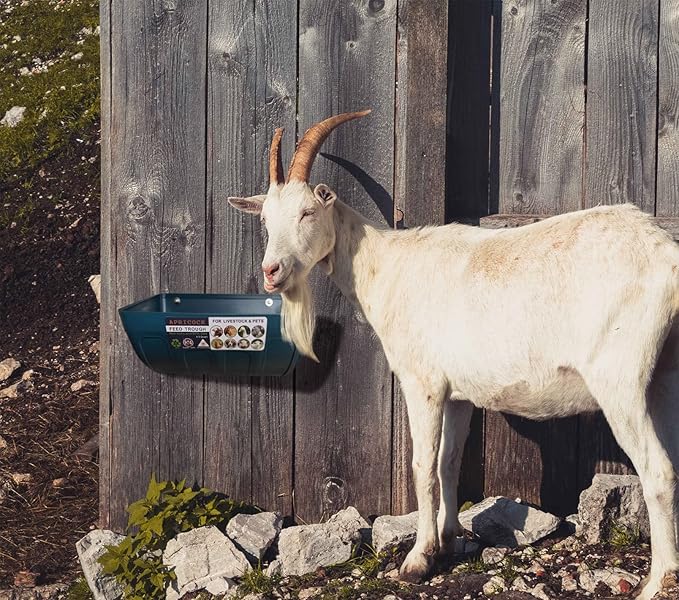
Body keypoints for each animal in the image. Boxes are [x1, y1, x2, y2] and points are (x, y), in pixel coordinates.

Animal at [228, 111, 679, 600]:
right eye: (266, 219)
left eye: (307, 212)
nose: (271, 271)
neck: (386, 266)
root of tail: (667, 256)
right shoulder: (460, 394)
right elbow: (449, 462)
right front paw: (447, 539)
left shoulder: (422, 382)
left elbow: (423, 465)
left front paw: (416, 561)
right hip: (665, 377)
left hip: (620, 379)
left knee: (657, 470)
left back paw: (657, 581)